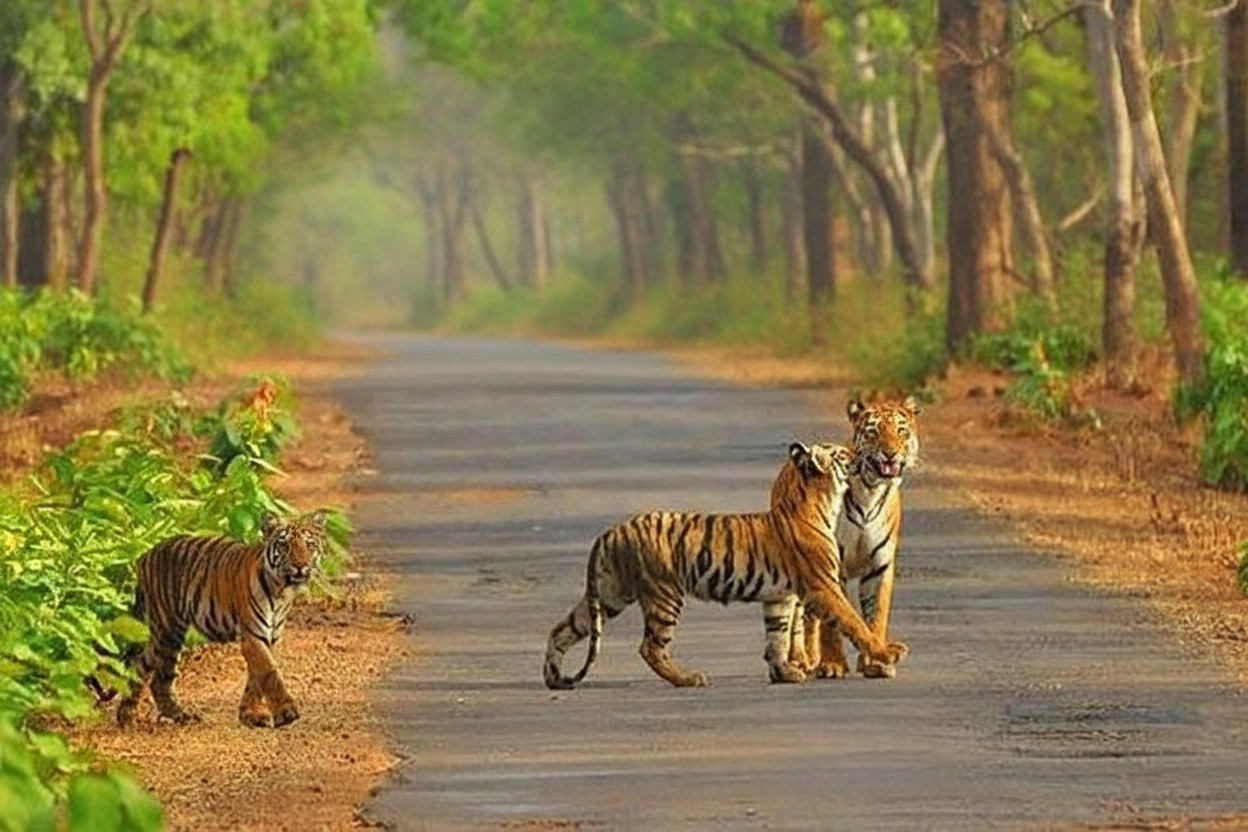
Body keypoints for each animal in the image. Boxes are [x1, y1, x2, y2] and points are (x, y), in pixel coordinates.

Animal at [116, 511, 328, 729]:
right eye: (284, 545)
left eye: (310, 545)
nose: (300, 566)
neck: (282, 591)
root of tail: (145, 555)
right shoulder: (253, 636)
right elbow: (269, 672)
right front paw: (286, 713)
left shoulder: (270, 638)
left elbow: (256, 677)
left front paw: (249, 715)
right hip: (168, 631)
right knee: (159, 679)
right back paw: (171, 715)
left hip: (160, 634)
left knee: (140, 665)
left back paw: (128, 715)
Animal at [543, 441, 909, 689]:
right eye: (842, 455)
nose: (861, 455)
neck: (819, 502)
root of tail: (611, 531)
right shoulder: (823, 586)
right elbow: (854, 622)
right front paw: (887, 653)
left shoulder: (779, 597)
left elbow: (777, 637)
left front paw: (784, 673)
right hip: (664, 594)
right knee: (650, 647)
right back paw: (689, 678)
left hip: (609, 593)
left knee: (562, 628)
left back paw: (554, 676)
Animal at [788, 397, 920, 680]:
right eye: (873, 432)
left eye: (901, 431)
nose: (890, 453)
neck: (871, 489)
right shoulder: (829, 565)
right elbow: (832, 622)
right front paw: (832, 664)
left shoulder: (880, 566)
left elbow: (875, 615)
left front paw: (876, 662)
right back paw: (806, 660)